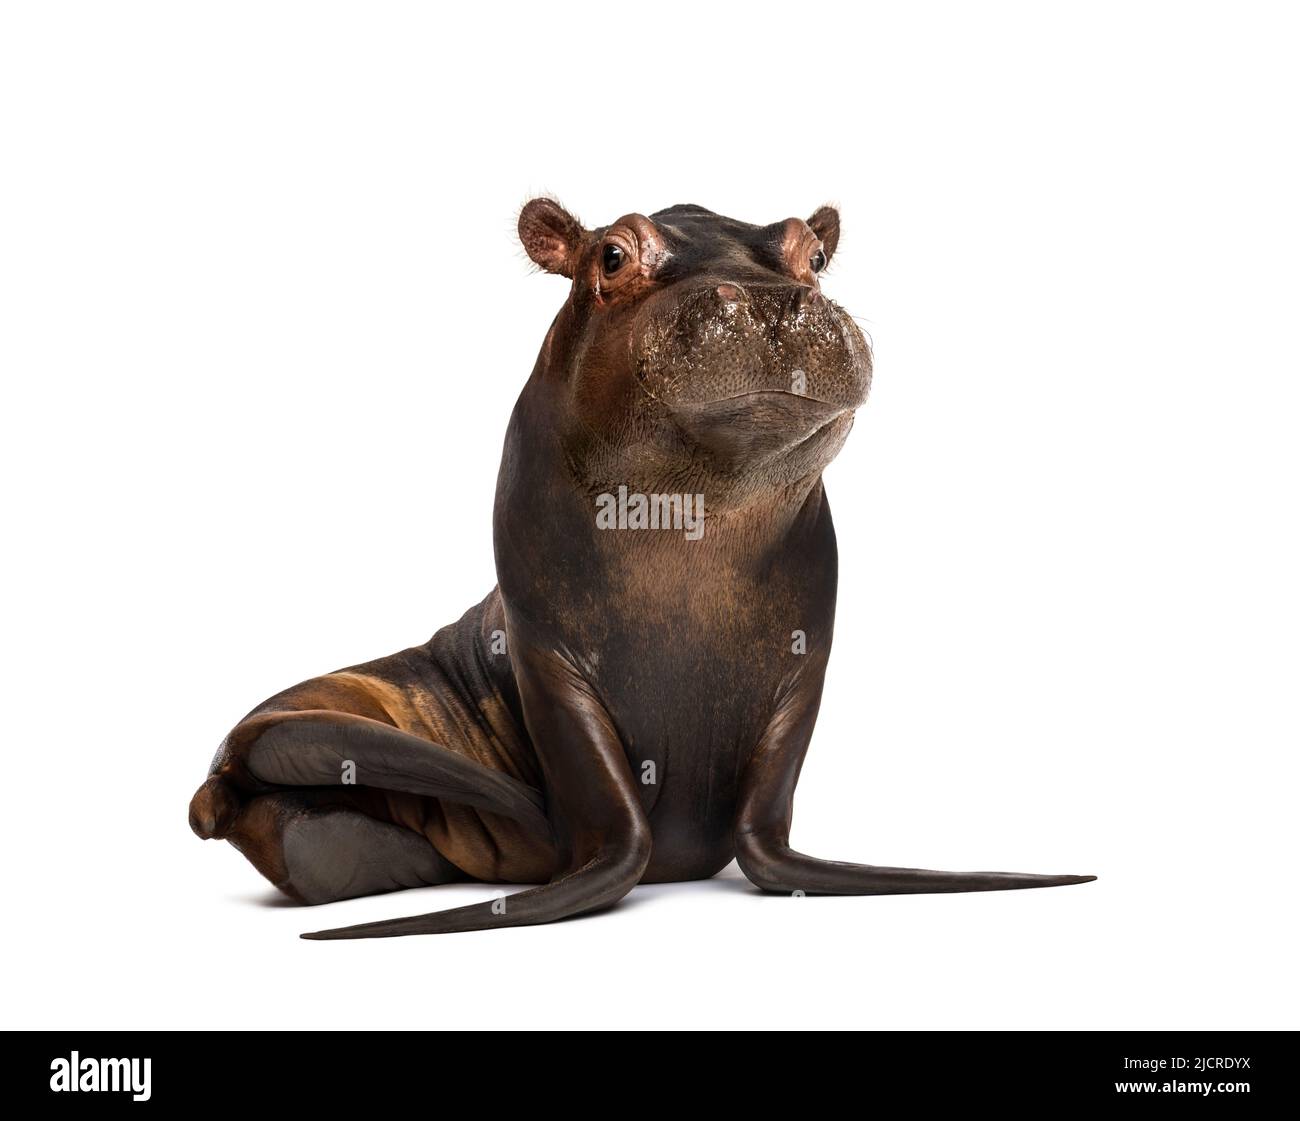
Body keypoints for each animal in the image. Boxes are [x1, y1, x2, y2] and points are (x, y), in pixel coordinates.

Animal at [188, 198, 1094, 938]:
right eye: (613, 254)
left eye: (814, 254)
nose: (769, 300)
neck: (686, 531)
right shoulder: (545, 657)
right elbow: (613, 816)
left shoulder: (808, 662)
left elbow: (769, 812)